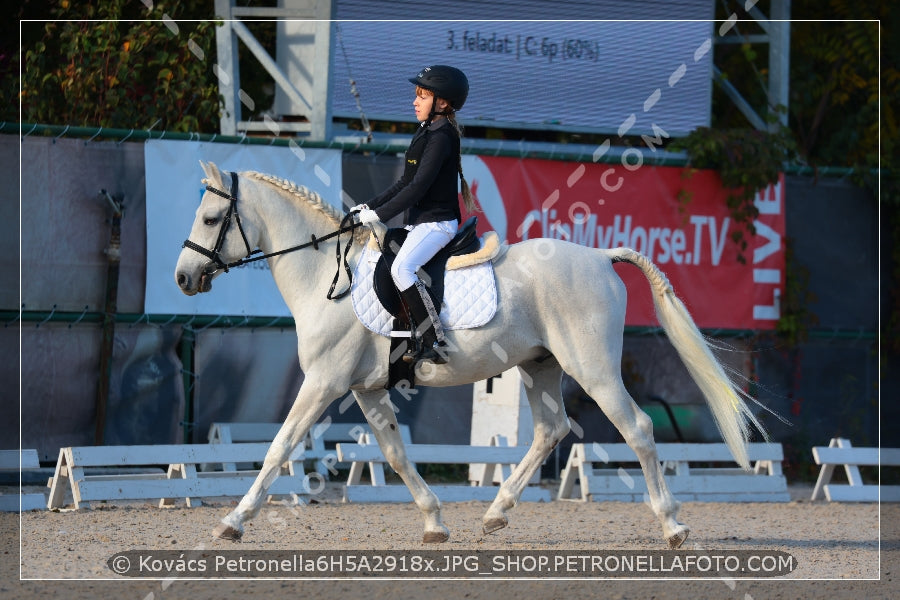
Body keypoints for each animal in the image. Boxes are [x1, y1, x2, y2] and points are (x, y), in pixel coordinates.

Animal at [176, 161, 768, 548]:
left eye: (209, 220)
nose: (183, 279)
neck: (326, 274)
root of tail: (600, 255)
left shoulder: (323, 382)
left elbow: (278, 448)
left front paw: (233, 521)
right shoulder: (367, 390)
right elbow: (394, 455)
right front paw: (435, 522)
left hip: (593, 368)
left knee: (638, 428)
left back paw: (673, 525)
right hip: (540, 367)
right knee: (550, 430)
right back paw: (495, 514)